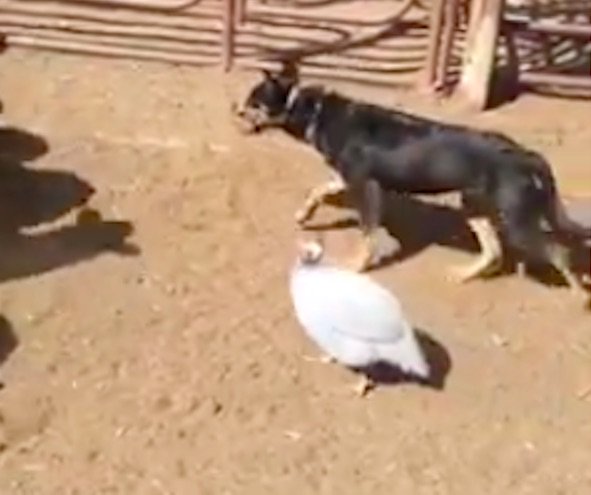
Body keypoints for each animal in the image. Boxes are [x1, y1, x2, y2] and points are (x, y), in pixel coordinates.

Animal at [236, 62, 591, 294]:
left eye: (254, 101)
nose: (235, 110)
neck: (314, 111)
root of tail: (527, 155)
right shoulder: (347, 177)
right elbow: (317, 191)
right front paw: (303, 214)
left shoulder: (366, 187)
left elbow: (367, 236)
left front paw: (356, 267)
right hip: (474, 206)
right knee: (494, 252)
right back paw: (463, 275)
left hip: (517, 222)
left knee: (558, 253)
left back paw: (578, 297)